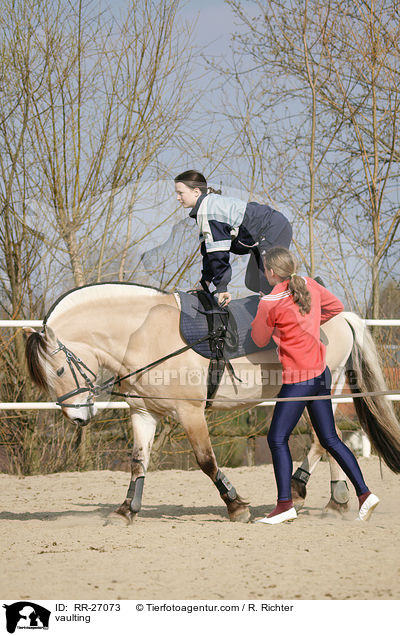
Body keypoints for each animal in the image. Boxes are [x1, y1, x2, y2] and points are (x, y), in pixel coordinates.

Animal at [25, 282, 400, 520]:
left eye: (59, 369)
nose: (78, 418)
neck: (143, 333)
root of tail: (342, 317)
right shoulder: (143, 413)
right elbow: (138, 462)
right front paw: (126, 510)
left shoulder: (190, 413)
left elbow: (206, 461)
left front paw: (236, 506)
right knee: (328, 440)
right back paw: (336, 501)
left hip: (319, 391)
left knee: (324, 442)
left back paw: (301, 488)